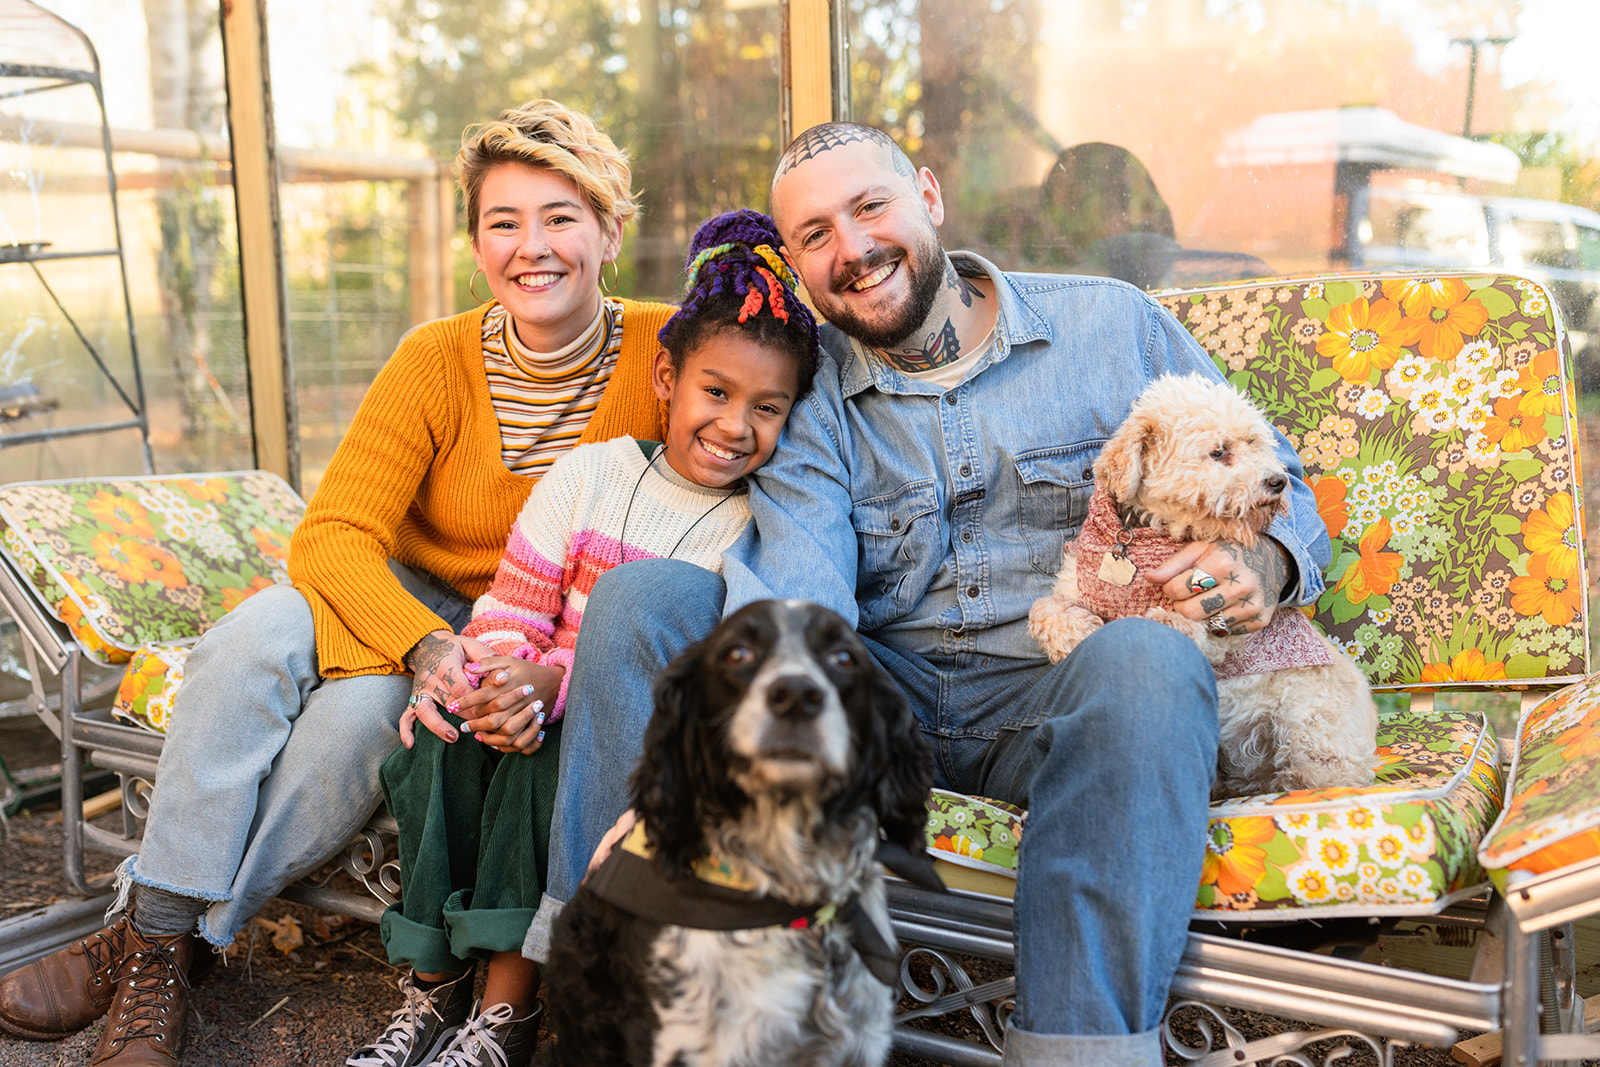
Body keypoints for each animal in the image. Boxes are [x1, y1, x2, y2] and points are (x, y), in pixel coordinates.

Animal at [1030, 375, 1382, 799]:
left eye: (1254, 443)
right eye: (1218, 452)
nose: (1278, 481)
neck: (1143, 534)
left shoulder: (1225, 622)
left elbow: (1186, 624)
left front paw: (1163, 624)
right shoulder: (1072, 585)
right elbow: (1044, 610)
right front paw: (1076, 634)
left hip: (1309, 715)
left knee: (1333, 771)